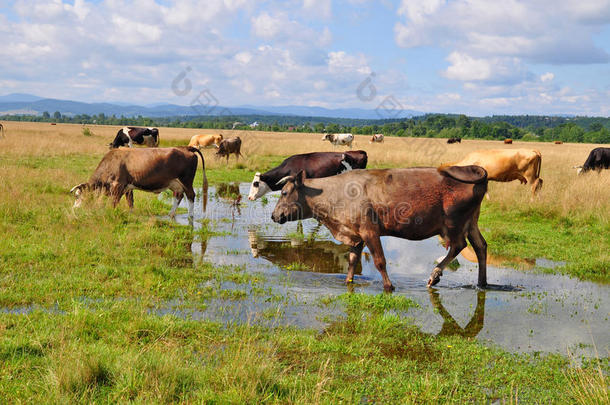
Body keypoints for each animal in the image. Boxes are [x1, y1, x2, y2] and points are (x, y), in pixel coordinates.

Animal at [70, 147, 205, 219]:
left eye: (77, 196)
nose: (74, 209)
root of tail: (185, 147)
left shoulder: (117, 185)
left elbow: (114, 201)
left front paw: (111, 213)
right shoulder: (127, 187)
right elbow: (130, 201)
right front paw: (131, 214)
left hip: (186, 181)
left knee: (191, 195)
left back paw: (190, 216)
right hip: (175, 183)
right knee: (178, 196)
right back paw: (171, 214)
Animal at [270, 166, 490, 288]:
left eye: (284, 192)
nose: (273, 215)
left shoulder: (370, 231)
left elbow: (380, 261)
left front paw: (389, 286)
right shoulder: (356, 234)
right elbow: (352, 261)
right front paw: (348, 282)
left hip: (454, 223)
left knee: (459, 245)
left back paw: (435, 275)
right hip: (471, 222)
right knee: (481, 247)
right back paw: (482, 283)